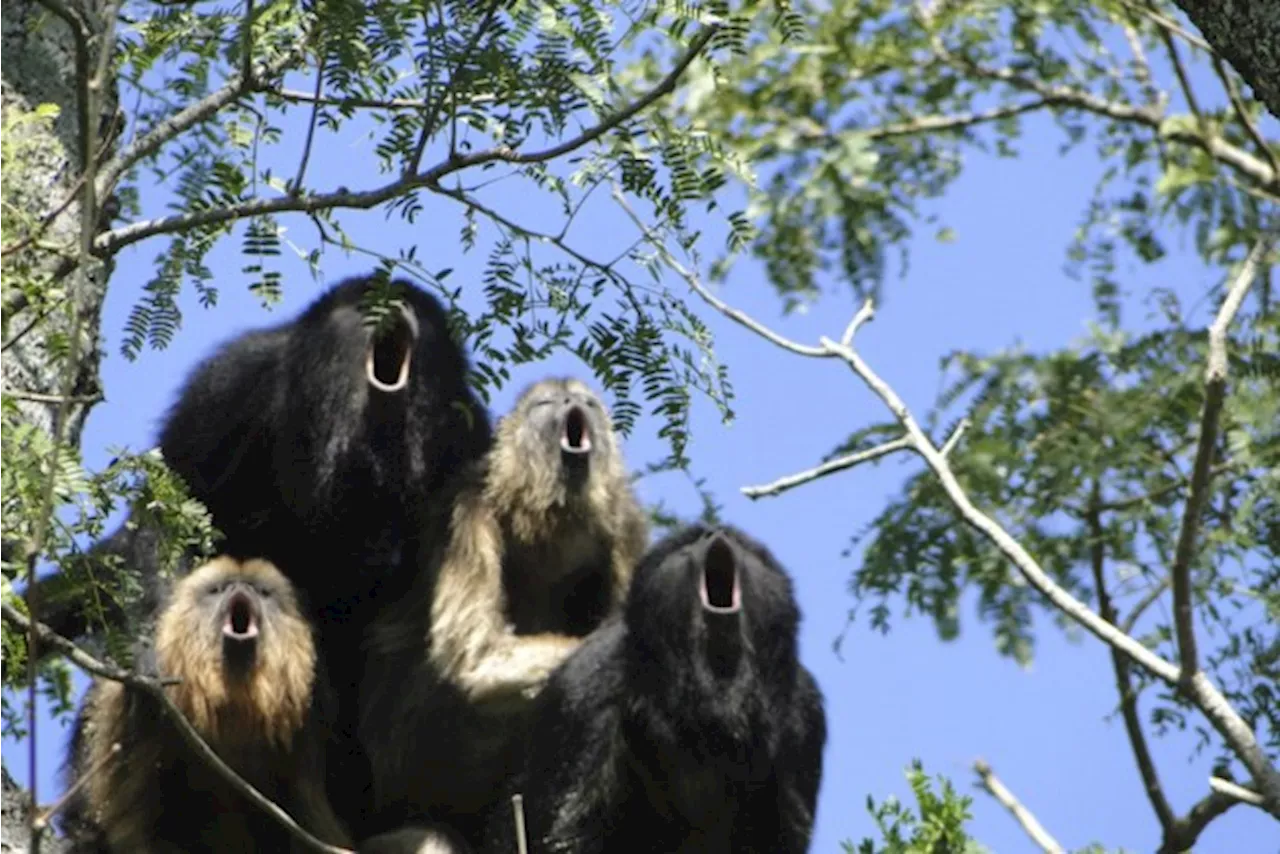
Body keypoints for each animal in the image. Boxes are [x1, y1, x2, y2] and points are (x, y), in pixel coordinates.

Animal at [355, 376, 645, 850]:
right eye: (546, 403)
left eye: (588, 403)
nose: (574, 401)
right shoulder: (468, 508)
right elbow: (475, 656)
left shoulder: (628, 527)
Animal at [481, 524, 829, 850]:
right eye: (688, 545)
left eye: (742, 546)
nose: (714, 533)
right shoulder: (588, 687)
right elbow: (561, 830)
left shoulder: (804, 715)